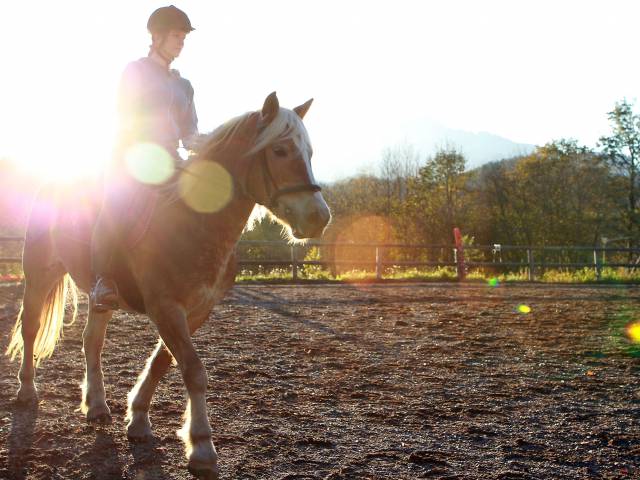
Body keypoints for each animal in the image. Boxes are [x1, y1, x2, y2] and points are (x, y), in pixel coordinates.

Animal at [5, 92, 332, 478]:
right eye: (280, 151)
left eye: (309, 152)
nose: (319, 218)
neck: (192, 222)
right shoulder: (165, 307)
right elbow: (193, 369)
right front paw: (202, 448)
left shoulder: (195, 310)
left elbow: (164, 361)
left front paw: (138, 420)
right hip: (39, 275)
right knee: (31, 328)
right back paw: (27, 392)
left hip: (100, 297)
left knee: (92, 342)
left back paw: (97, 406)